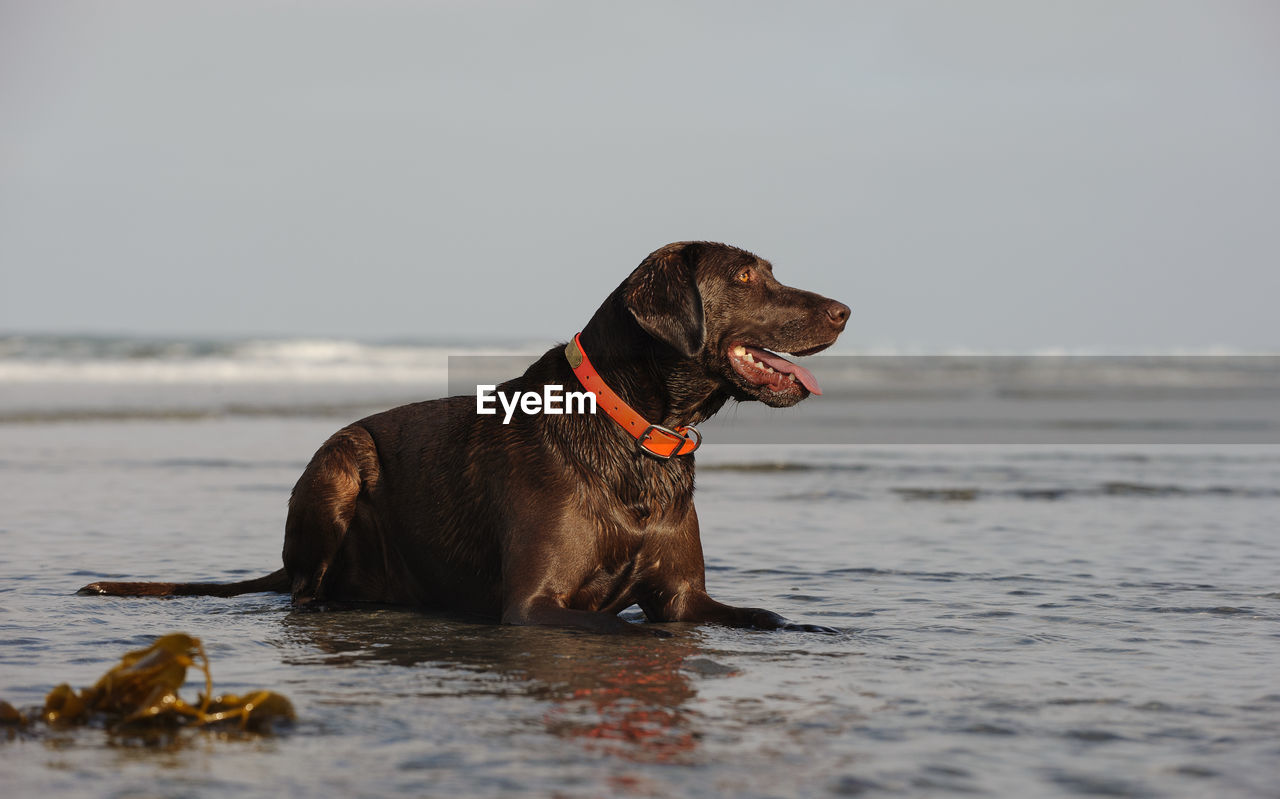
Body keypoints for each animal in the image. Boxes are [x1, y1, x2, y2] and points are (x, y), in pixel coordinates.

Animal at [85, 240, 855, 632]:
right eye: (747, 276)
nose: (846, 309)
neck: (639, 432)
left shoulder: (685, 597)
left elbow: (765, 615)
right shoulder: (535, 604)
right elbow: (615, 620)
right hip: (337, 466)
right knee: (303, 587)